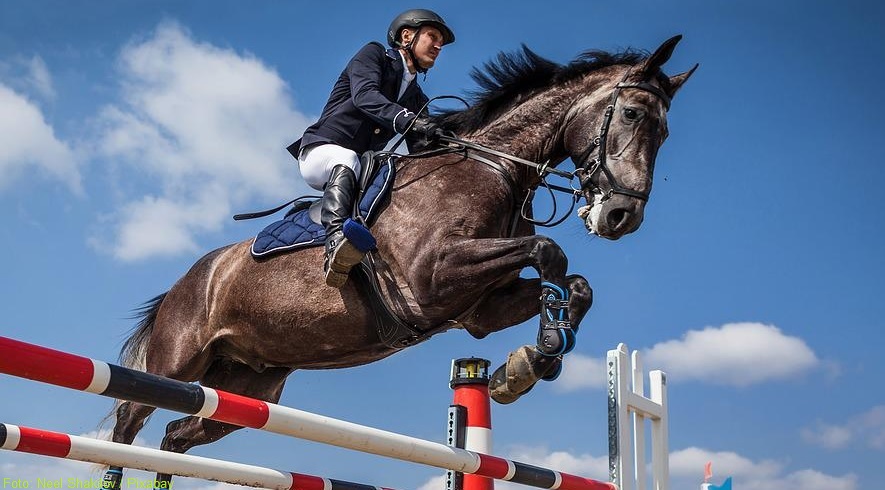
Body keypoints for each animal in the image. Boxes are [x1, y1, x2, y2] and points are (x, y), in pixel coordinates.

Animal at [105, 35, 696, 486]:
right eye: (632, 113)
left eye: (665, 132)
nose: (621, 216)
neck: (495, 171)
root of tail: (188, 280)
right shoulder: (432, 279)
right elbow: (550, 252)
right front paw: (540, 352)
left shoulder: (478, 310)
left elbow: (577, 284)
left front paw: (530, 362)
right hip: (177, 362)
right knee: (128, 422)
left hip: (247, 386)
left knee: (176, 436)